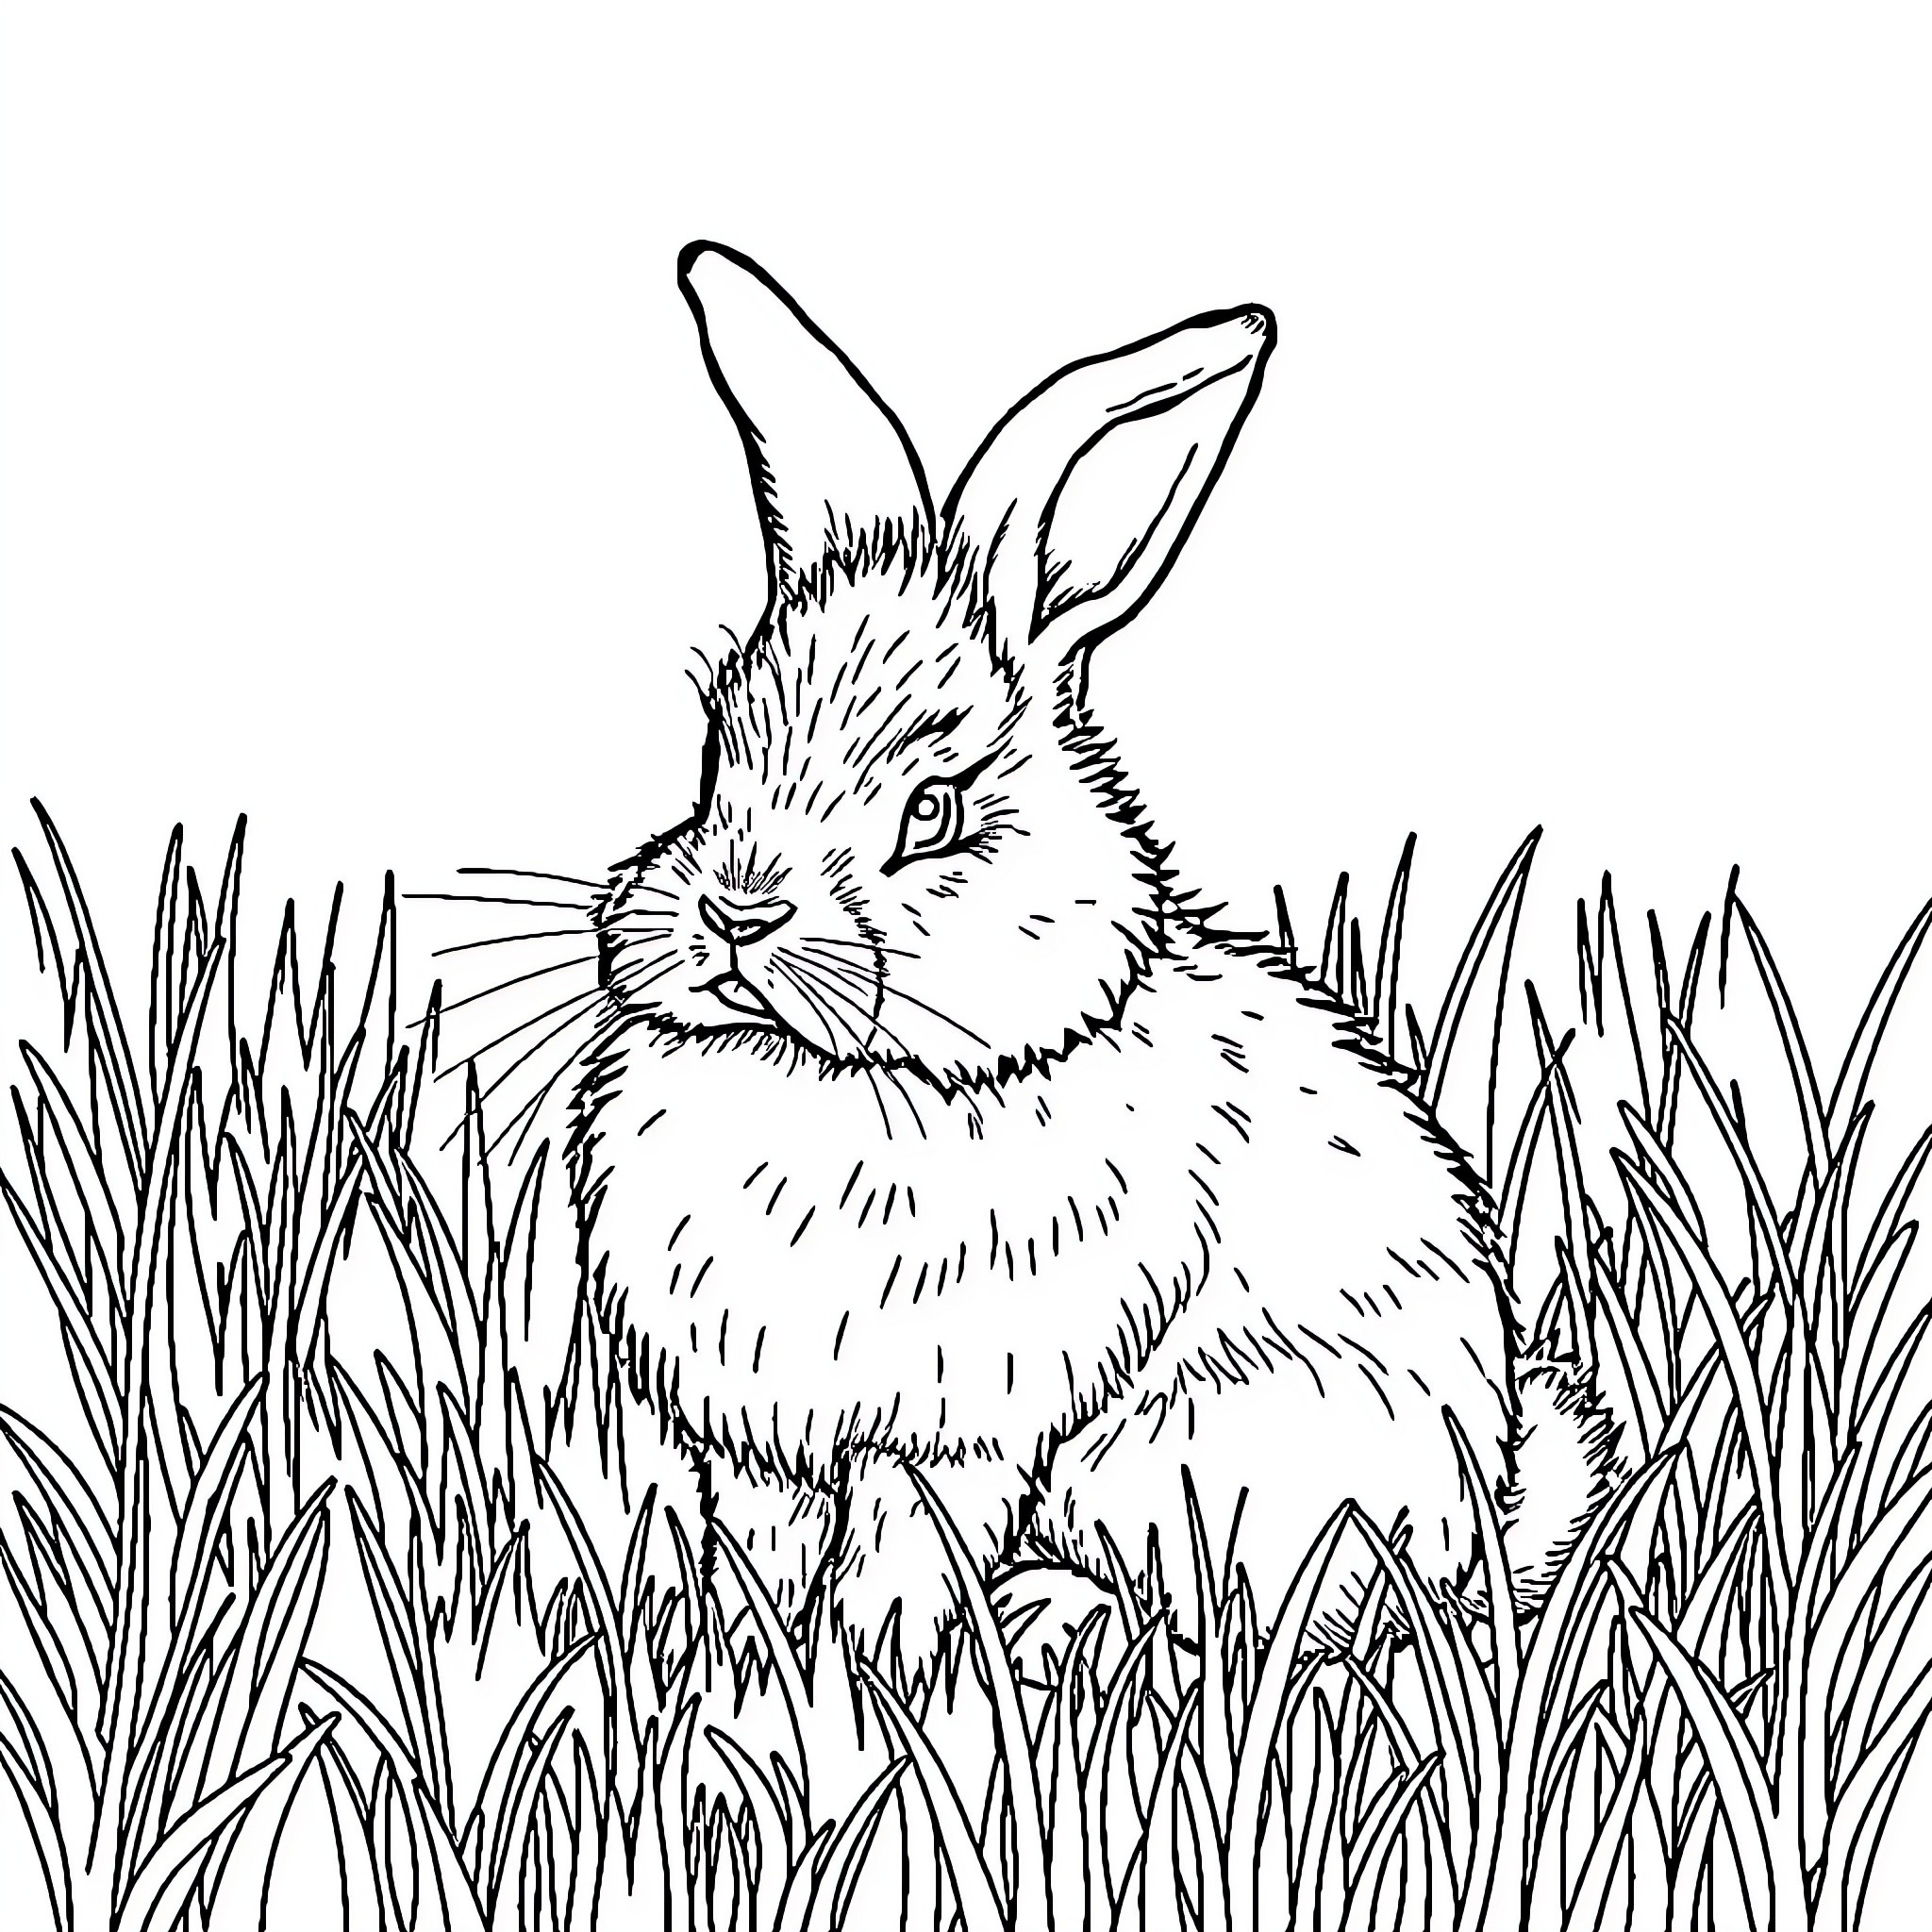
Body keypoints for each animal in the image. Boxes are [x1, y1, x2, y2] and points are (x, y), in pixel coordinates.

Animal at [566, 242, 1622, 1674]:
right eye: (718, 751)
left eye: (932, 812)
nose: (734, 913)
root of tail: (1478, 1530)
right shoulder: (759, 1433)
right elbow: (762, 1546)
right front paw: (740, 1657)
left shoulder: (952, 1429)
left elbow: (902, 1552)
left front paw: (881, 1673)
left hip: (1199, 1470)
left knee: (1246, 1635)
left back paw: (1050, 1622)